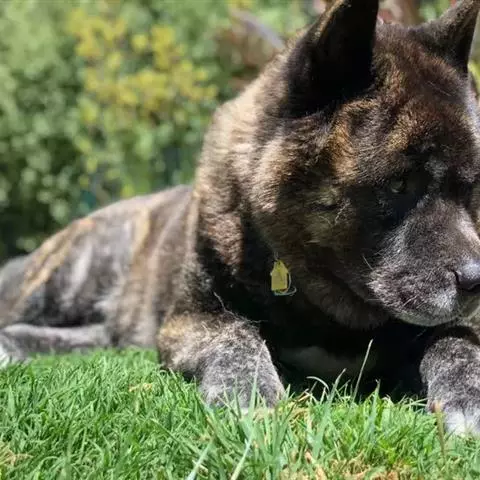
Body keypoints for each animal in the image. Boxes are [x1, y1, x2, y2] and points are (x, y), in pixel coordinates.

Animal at [1, 0, 480, 435]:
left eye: (470, 186)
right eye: (400, 185)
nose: (477, 280)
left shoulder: (444, 327)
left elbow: (456, 342)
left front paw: (469, 394)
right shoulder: (190, 321)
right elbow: (236, 335)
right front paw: (247, 392)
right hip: (66, 280)